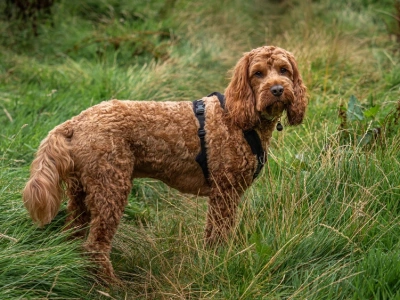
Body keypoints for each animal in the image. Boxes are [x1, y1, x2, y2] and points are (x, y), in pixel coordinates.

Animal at [23, 45, 308, 282]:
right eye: (258, 73)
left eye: (284, 70)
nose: (277, 89)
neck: (238, 120)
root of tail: (75, 122)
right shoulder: (225, 192)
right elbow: (219, 234)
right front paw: (220, 261)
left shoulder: (223, 194)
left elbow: (213, 233)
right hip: (110, 187)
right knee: (95, 245)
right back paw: (111, 285)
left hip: (81, 192)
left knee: (74, 234)